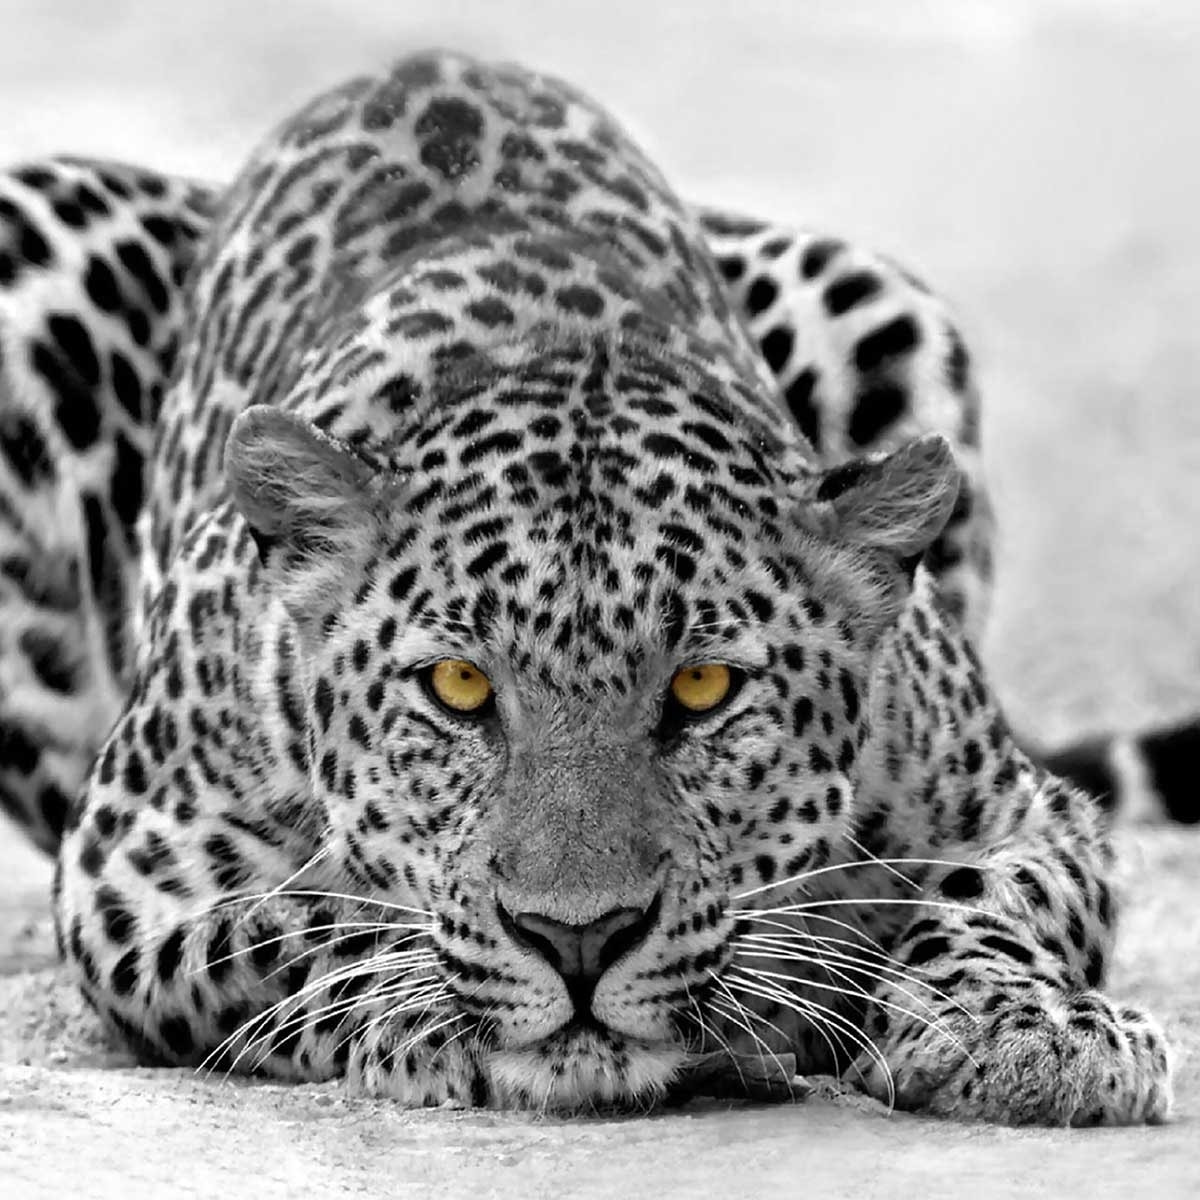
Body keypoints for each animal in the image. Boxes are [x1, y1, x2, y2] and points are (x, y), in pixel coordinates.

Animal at [0, 49, 1174, 1123]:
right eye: (459, 689)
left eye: (703, 688)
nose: (579, 939)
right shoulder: (128, 875)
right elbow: (300, 926)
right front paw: (430, 1009)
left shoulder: (1021, 810)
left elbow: (998, 898)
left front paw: (1033, 1028)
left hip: (873, 294)